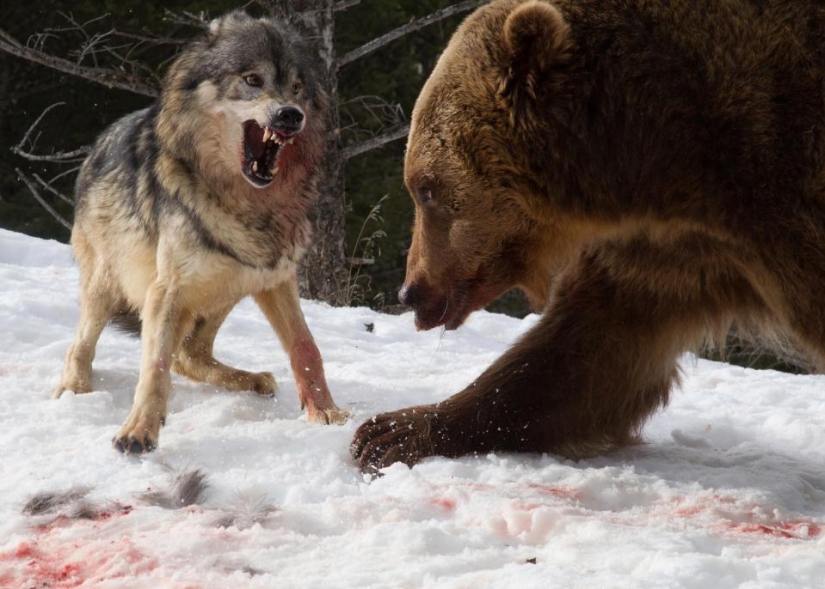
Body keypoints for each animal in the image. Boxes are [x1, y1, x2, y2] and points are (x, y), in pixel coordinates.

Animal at [54, 11, 349, 454]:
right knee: (83, 346)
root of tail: (95, 147)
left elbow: (306, 347)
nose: (290, 115)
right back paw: (73, 389)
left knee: (190, 355)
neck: (247, 205)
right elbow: (154, 366)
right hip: (111, 284)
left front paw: (326, 411)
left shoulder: (276, 278)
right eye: (252, 79)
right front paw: (138, 430)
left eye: (297, 88)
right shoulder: (167, 289)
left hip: (230, 284)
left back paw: (253, 380)